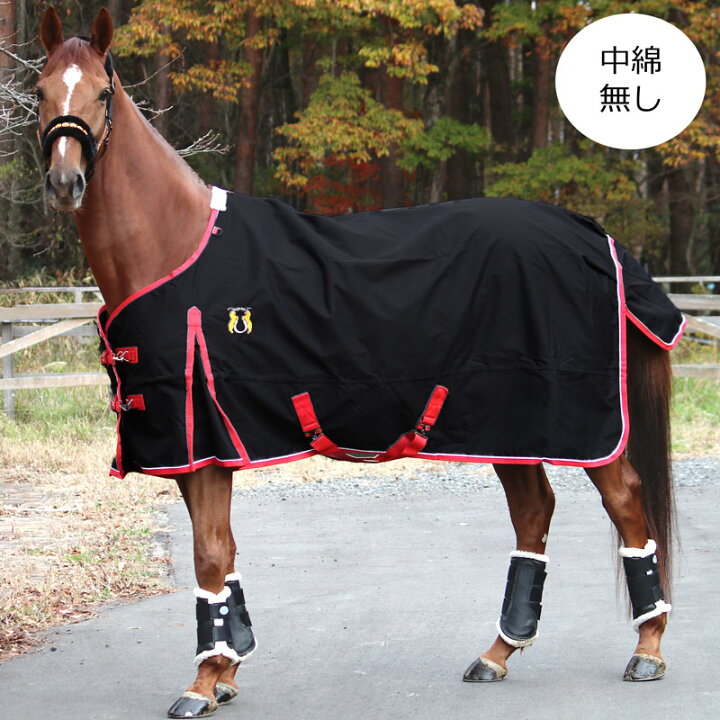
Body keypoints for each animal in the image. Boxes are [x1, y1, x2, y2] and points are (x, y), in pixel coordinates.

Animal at [36, 7, 685, 719]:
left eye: (102, 93)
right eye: (39, 92)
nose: (64, 183)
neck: (174, 248)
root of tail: (592, 233)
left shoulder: (200, 442)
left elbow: (209, 556)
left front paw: (203, 682)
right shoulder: (194, 450)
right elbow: (225, 554)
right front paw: (230, 666)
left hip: (578, 425)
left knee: (626, 502)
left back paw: (648, 650)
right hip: (506, 423)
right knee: (534, 513)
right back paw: (497, 653)